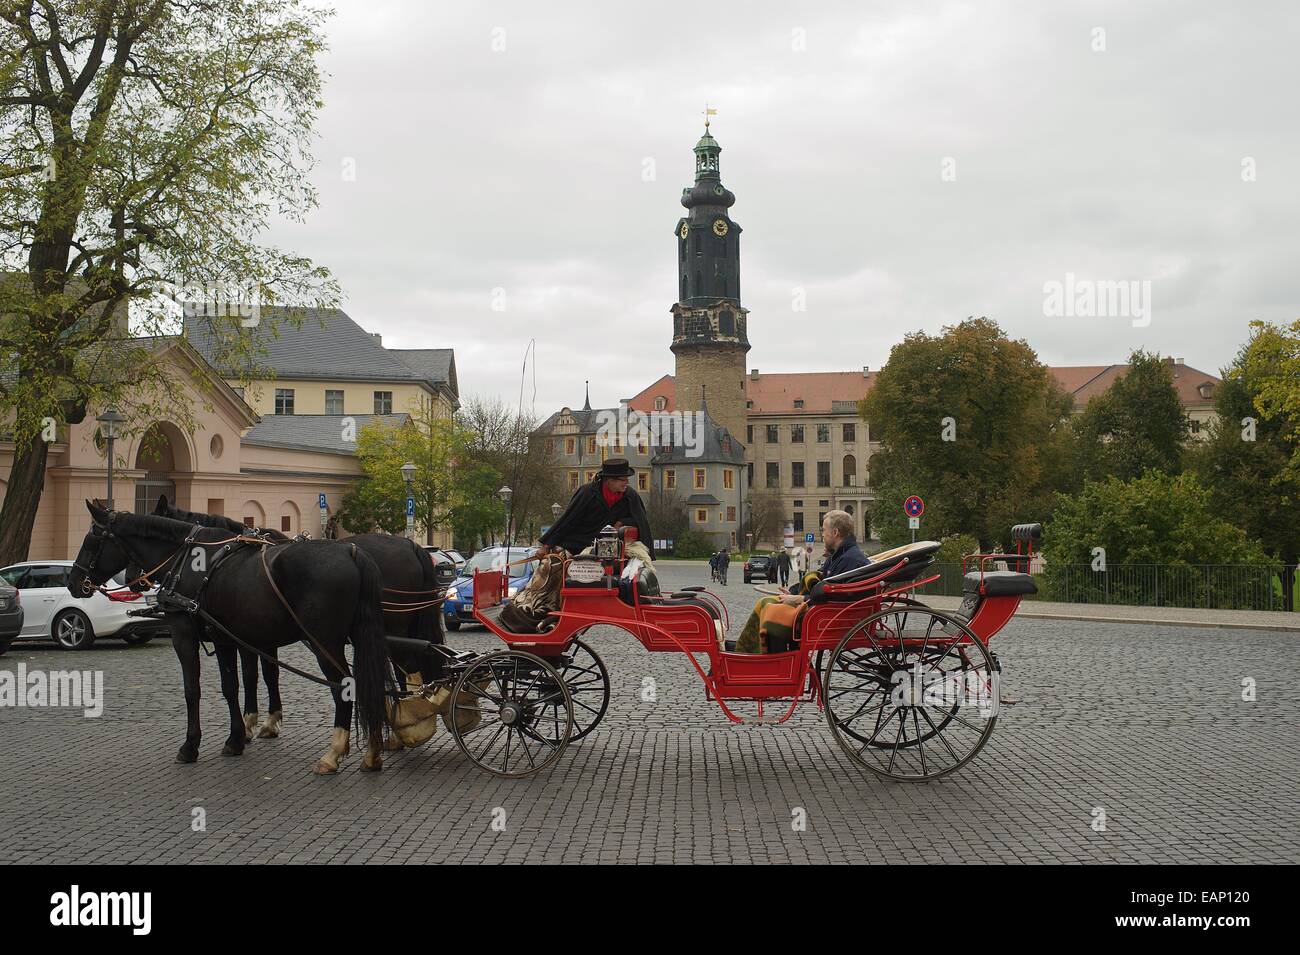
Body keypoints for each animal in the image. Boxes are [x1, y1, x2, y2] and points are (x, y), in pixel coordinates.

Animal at [68, 504, 390, 774]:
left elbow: (194, 689)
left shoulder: (185, 634)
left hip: (325, 643)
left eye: (91, 540)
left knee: (345, 686)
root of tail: (350, 550)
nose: (72, 582)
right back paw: (373, 751)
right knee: (370, 683)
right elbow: (235, 685)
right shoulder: (228, 638)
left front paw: (191, 745)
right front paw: (238, 737)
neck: (188, 560)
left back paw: (333, 752)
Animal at [150, 501, 447, 748]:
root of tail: (412, 546)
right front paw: (268, 721)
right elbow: (267, 675)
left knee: (406, 669)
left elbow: (248, 676)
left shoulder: (240, 638)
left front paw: (247, 726)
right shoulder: (260, 639)